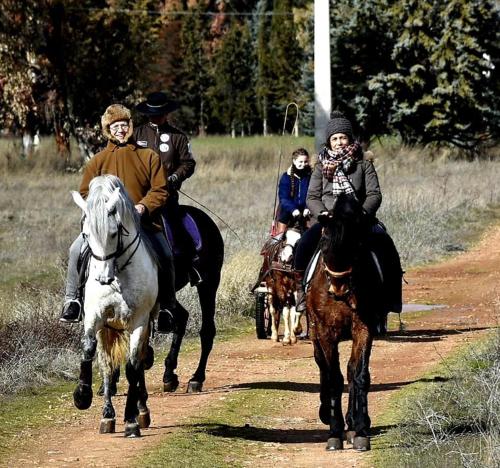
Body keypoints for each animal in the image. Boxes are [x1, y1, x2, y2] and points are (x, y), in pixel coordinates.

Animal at [71, 174, 157, 436]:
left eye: (113, 233)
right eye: (86, 235)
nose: (102, 278)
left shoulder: (138, 322)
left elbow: (132, 368)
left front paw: (131, 419)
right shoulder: (95, 319)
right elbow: (92, 353)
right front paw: (83, 396)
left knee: (139, 364)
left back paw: (141, 410)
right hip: (107, 330)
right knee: (108, 364)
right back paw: (108, 415)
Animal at [306, 192, 384, 452]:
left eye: (357, 245)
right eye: (324, 243)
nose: (338, 289)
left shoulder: (363, 329)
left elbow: (358, 375)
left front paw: (359, 430)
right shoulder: (324, 333)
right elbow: (333, 379)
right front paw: (334, 433)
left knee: (351, 371)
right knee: (324, 368)